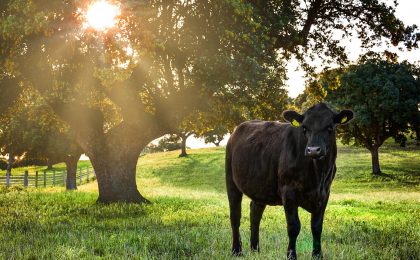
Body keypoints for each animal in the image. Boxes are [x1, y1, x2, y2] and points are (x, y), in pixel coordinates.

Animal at [225, 103, 352, 258]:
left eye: (330, 127)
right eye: (304, 128)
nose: (313, 150)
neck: (317, 175)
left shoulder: (324, 193)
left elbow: (317, 226)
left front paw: (317, 255)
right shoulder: (289, 191)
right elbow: (293, 226)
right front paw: (291, 255)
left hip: (261, 186)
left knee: (255, 214)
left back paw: (255, 249)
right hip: (231, 181)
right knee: (235, 216)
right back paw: (236, 250)